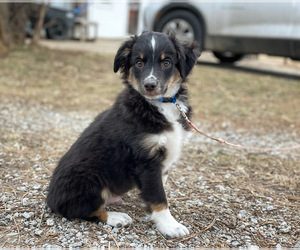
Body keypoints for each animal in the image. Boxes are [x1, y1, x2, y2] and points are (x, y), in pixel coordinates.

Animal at [46, 31, 199, 238]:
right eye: (139, 63)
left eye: (166, 62)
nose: (149, 85)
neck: (159, 105)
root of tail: (50, 200)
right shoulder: (146, 161)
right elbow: (158, 195)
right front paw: (170, 225)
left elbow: (159, 188)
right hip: (91, 180)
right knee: (79, 210)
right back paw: (116, 217)